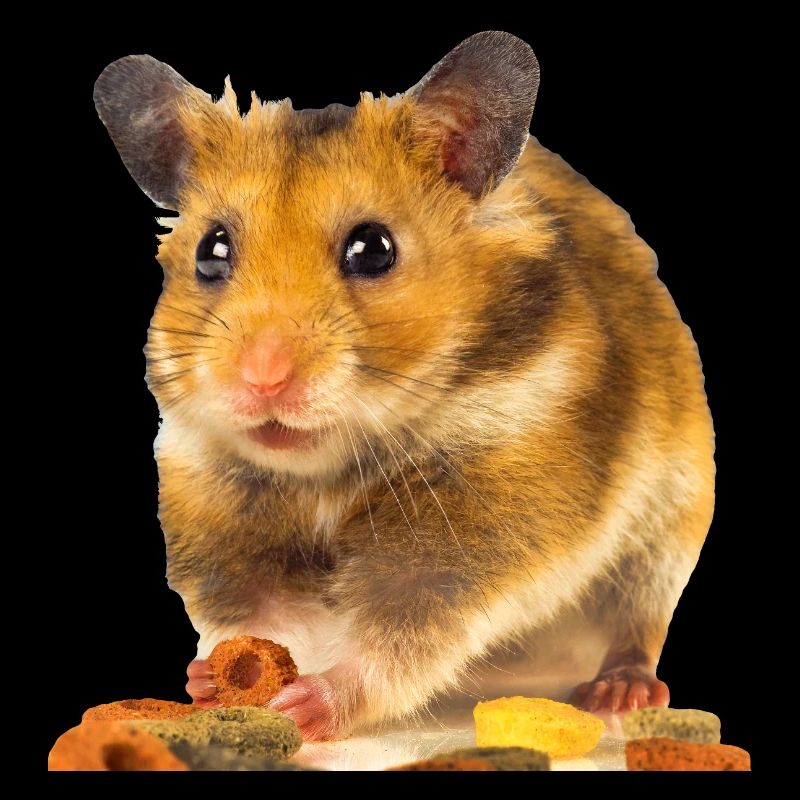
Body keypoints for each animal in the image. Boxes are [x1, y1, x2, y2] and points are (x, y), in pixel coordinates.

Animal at [93, 31, 715, 741]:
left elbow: (401, 635)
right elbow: (263, 617)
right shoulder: (218, 508)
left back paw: (616, 693)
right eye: (210, 250)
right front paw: (216, 680)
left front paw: (306, 706)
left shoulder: (479, 528)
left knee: (638, 620)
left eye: (374, 249)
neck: (328, 472)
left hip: (670, 523)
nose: (262, 379)